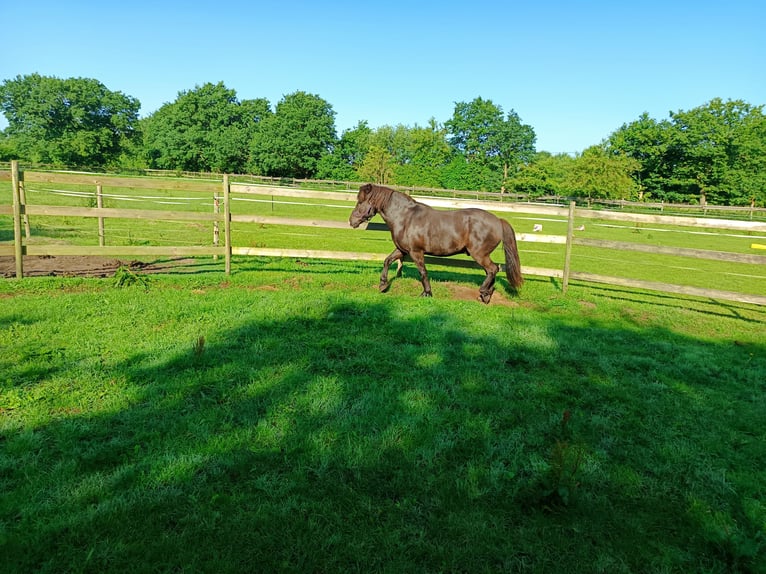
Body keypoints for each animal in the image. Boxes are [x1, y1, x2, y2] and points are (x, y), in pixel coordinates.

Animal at [349, 183, 523, 303]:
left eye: (360, 202)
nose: (351, 221)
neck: (405, 218)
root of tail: (498, 220)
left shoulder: (416, 252)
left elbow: (423, 272)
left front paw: (426, 293)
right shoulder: (402, 250)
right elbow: (387, 261)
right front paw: (383, 285)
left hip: (479, 254)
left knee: (493, 269)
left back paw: (484, 292)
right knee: (492, 270)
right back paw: (486, 294)